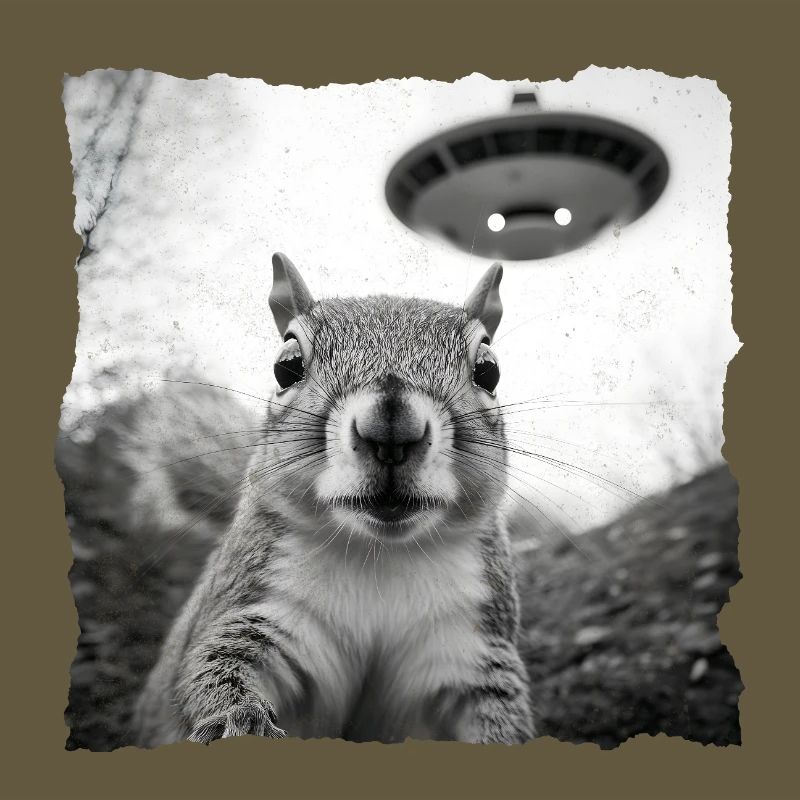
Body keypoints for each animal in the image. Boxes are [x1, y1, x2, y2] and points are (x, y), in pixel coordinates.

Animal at [133, 252, 535, 746]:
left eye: (488, 370)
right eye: (286, 366)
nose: (391, 428)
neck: (381, 555)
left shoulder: (469, 646)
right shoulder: (260, 607)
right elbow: (215, 666)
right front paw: (238, 721)